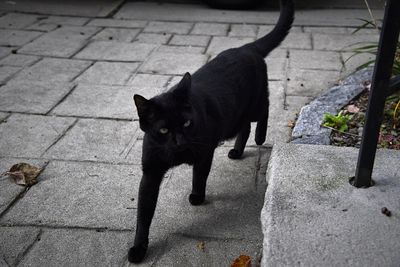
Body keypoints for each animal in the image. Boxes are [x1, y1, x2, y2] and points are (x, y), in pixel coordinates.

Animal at [128, 0, 294, 264]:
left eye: (186, 124)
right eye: (163, 129)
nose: (179, 141)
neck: (177, 155)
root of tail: (247, 47)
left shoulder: (204, 153)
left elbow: (199, 175)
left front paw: (197, 197)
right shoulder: (151, 173)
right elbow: (143, 215)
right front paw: (138, 248)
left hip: (254, 104)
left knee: (265, 109)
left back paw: (260, 136)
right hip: (235, 116)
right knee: (245, 126)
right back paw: (237, 151)